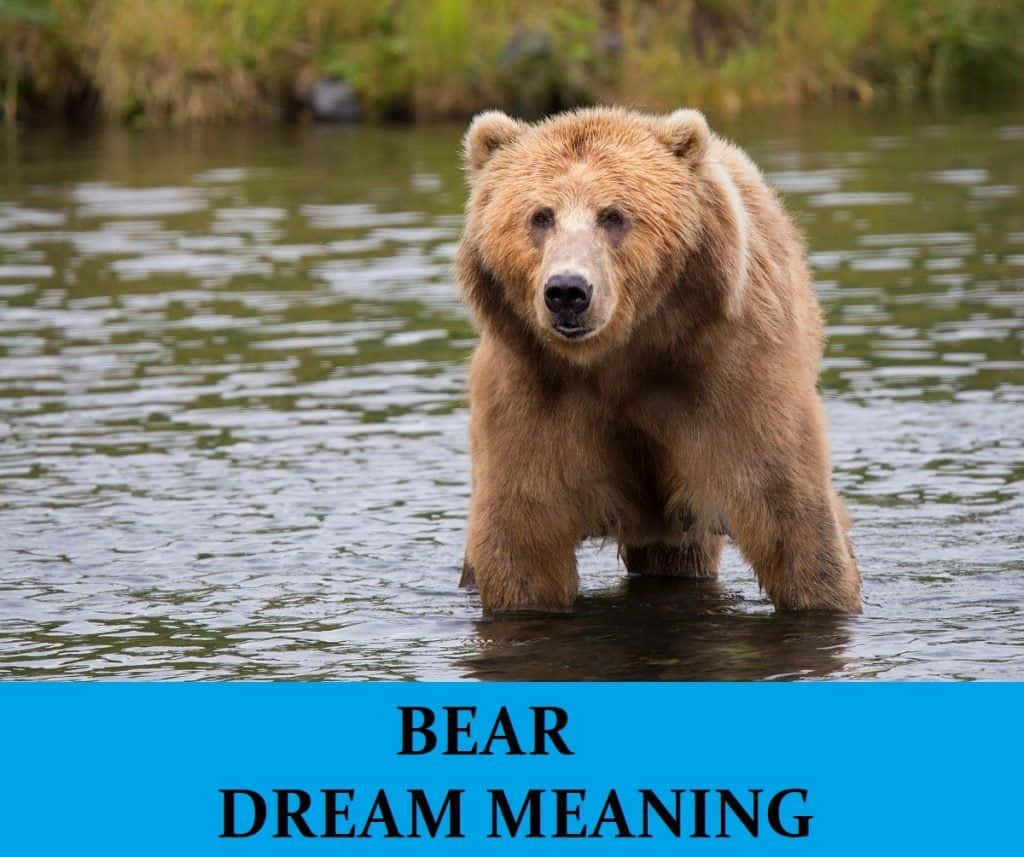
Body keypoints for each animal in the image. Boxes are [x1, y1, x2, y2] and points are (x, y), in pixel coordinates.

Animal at [454, 106, 861, 614]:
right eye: (540, 216)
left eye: (613, 215)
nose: (567, 291)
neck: (622, 355)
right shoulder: (533, 392)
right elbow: (523, 534)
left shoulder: (729, 376)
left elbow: (788, 512)